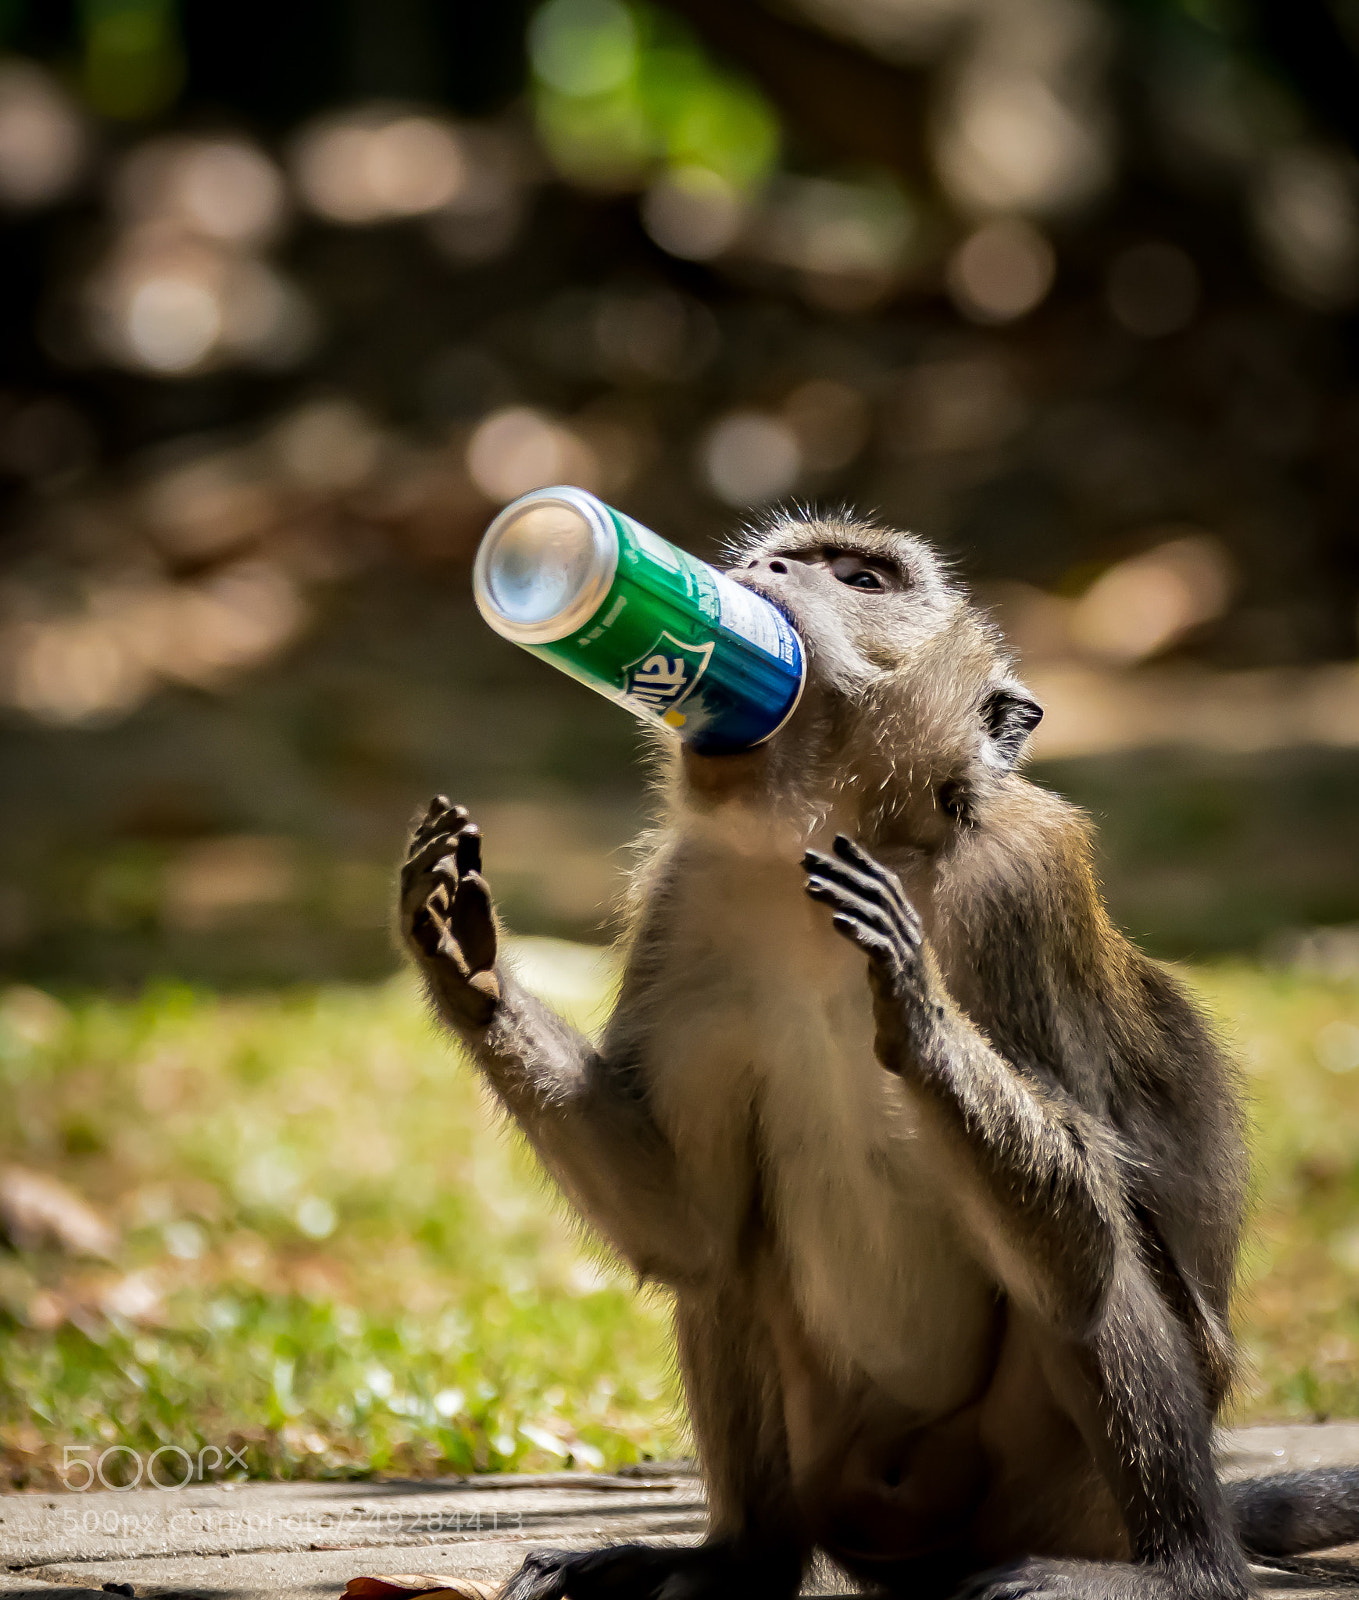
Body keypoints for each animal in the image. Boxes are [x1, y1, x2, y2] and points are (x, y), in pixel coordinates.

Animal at [399, 513, 1359, 1600]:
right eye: (770, 561)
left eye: (861, 580)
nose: (763, 573)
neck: (838, 837)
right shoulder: (685, 892)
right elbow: (688, 1224)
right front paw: (467, 964)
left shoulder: (1022, 889)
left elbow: (1085, 1237)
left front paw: (914, 1004)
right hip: (838, 1464)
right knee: (730, 1273)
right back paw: (737, 1560)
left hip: (1051, 1498)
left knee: (1093, 1279)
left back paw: (1181, 1569)